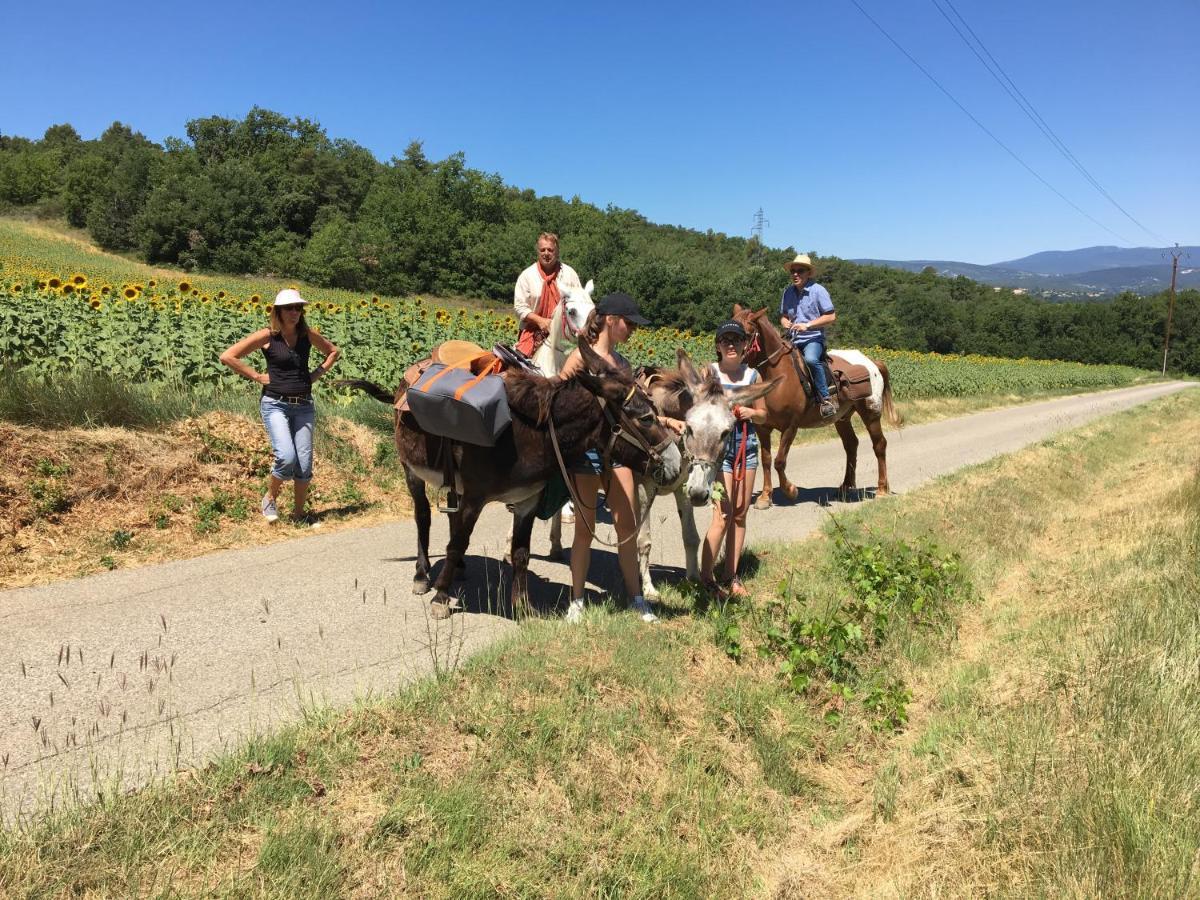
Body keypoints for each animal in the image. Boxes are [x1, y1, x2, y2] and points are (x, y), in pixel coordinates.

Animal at [340, 340, 676, 619]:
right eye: (647, 418)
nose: (674, 462)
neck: (527, 434)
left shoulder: (527, 500)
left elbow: (520, 552)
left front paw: (522, 605)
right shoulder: (476, 496)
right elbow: (458, 542)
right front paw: (440, 599)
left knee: (450, 517)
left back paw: (457, 569)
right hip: (410, 470)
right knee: (423, 516)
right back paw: (423, 576)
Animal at [729, 307, 902, 508]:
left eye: (747, 334)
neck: (777, 376)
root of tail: (873, 363)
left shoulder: (790, 426)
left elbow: (779, 461)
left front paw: (791, 490)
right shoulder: (761, 427)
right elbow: (766, 460)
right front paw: (765, 497)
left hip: (871, 412)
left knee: (879, 444)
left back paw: (882, 489)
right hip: (842, 418)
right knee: (851, 445)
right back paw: (845, 487)